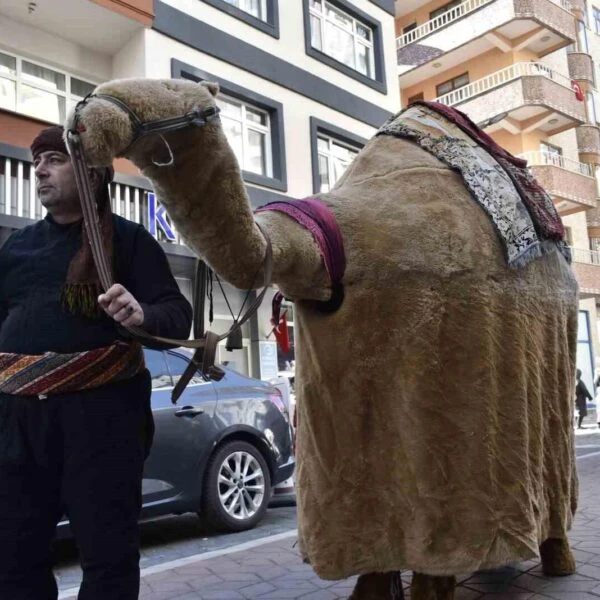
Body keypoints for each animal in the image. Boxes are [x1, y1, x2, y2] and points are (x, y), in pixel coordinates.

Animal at [67, 77, 580, 596]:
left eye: (177, 90)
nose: (84, 117)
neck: (330, 247)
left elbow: (439, 543)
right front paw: (371, 588)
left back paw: (558, 557)